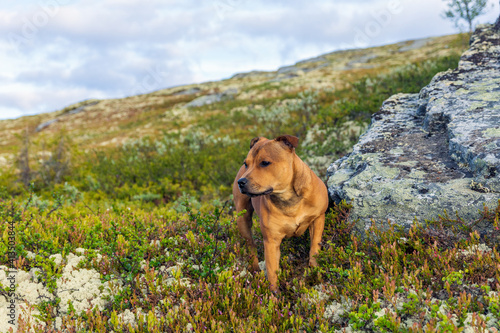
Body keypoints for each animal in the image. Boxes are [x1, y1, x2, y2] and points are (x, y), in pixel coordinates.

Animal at [233, 135, 330, 290]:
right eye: (246, 164)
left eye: (265, 163)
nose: (241, 182)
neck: (287, 197)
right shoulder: (271, 242)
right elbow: (272, 270)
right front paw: (274, 294)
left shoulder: (318, 219)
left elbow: (314, 248)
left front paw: (316, 276)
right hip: (243, 219)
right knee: (251, 245)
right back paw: (255, 270)